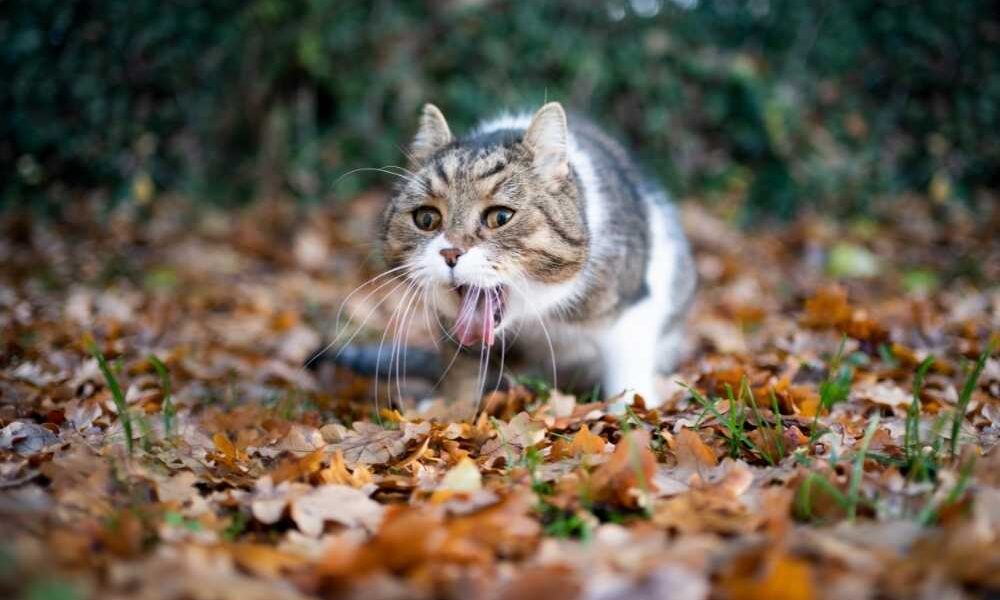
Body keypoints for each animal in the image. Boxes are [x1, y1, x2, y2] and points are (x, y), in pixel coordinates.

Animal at [368, 104, 696, 412]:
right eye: (426, 219)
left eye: (500, 217)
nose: (450, 252)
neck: (535, 314)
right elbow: (462, 366)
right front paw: (450, 408)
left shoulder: (631, 305)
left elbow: (627, 367)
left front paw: (631, 410)